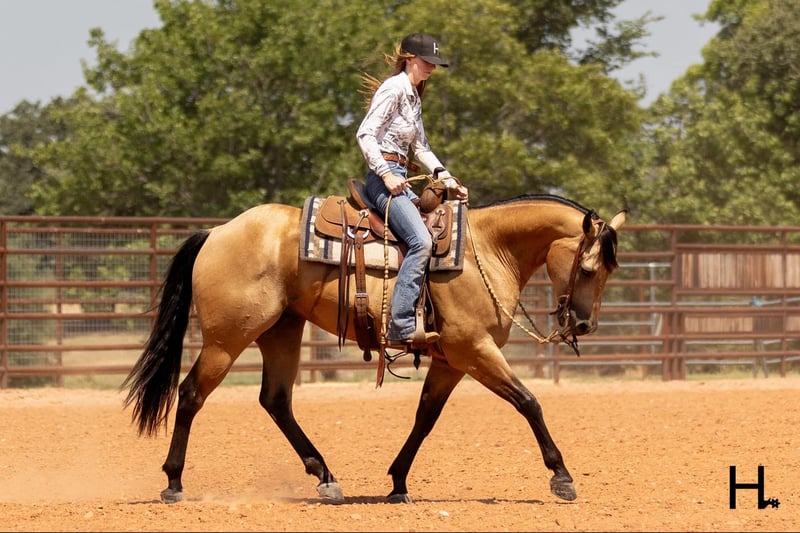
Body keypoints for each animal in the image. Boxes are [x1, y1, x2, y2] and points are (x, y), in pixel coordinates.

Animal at [122, 192, 626, 504]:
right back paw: (173, 482)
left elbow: (425, 418)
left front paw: (398, 481)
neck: (485, 249)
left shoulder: (451, 361)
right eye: (587, 268)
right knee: (191, 395)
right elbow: (528, 401)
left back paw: (326, 478)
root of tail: (216, 232)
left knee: (276, 400)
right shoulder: (475, 350)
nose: (584, 324)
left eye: (607, 270)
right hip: (226, 340)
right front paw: (561, 477)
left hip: (281, 331)